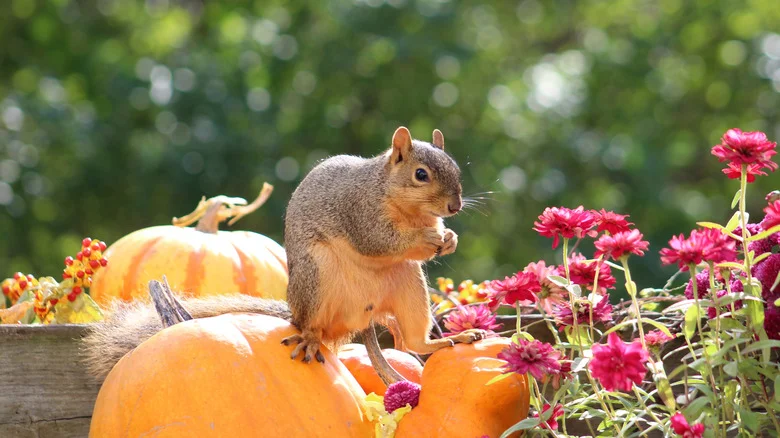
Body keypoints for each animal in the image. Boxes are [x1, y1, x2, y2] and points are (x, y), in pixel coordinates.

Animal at [83, 126, 485, 382]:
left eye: (456, 169)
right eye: (421, 174)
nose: (454, 206)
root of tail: (357, 318)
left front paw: (449, 237)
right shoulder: (359, 213)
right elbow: (380, 241)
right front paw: (432, 238)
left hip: (407, 285)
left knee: (411, 340)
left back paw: (448, 339)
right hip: (318, 278)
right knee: (313, 325)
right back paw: (310, 338)